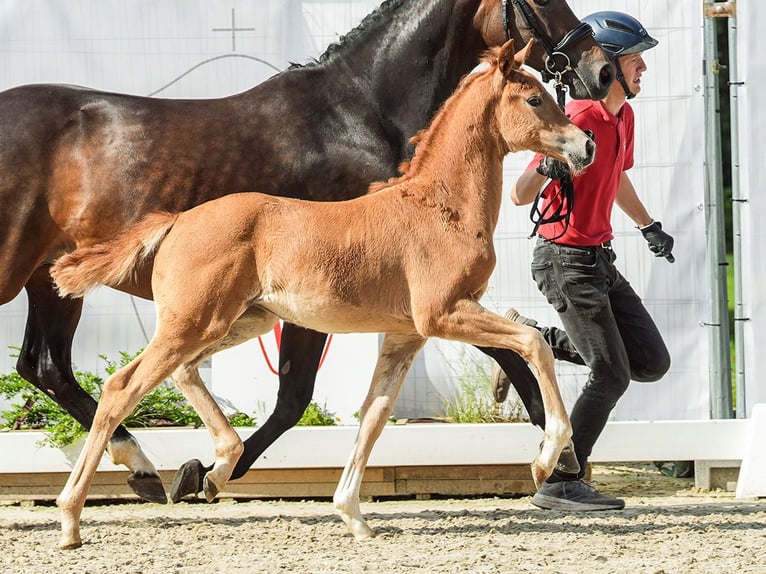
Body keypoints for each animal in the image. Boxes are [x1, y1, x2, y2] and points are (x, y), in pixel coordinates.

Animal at [0, 0, 616, 504]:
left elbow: (305, 399)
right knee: (71, 371)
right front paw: (562, 461)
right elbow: (298, 396)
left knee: (46, 366)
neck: (357, 111)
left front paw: (206, 472)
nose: (601, 70)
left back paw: (143, 468)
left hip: (53, 282)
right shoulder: (397, 303)